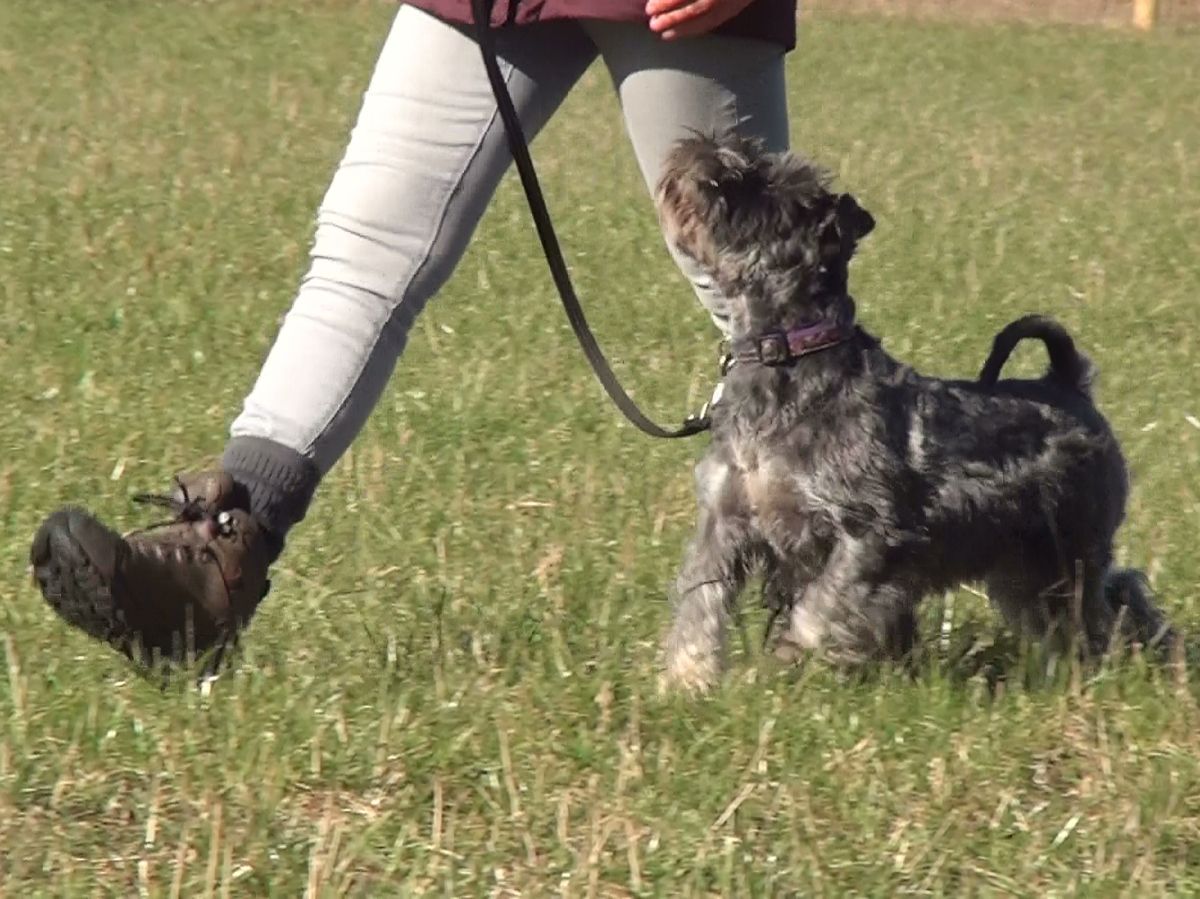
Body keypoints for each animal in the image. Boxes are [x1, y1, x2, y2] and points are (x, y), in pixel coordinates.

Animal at [657, 135, 1171, 696]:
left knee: (1117, 601)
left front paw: (785, 660)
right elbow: (700, 605)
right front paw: (684, 682)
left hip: (1070, 551)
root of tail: (1069, 382)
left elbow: (820, 609)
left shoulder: (869, 532)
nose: (708, 151)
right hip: (1026, 567)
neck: (786, 354)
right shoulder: (724, 523)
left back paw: (1148, 663)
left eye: (775, 189)